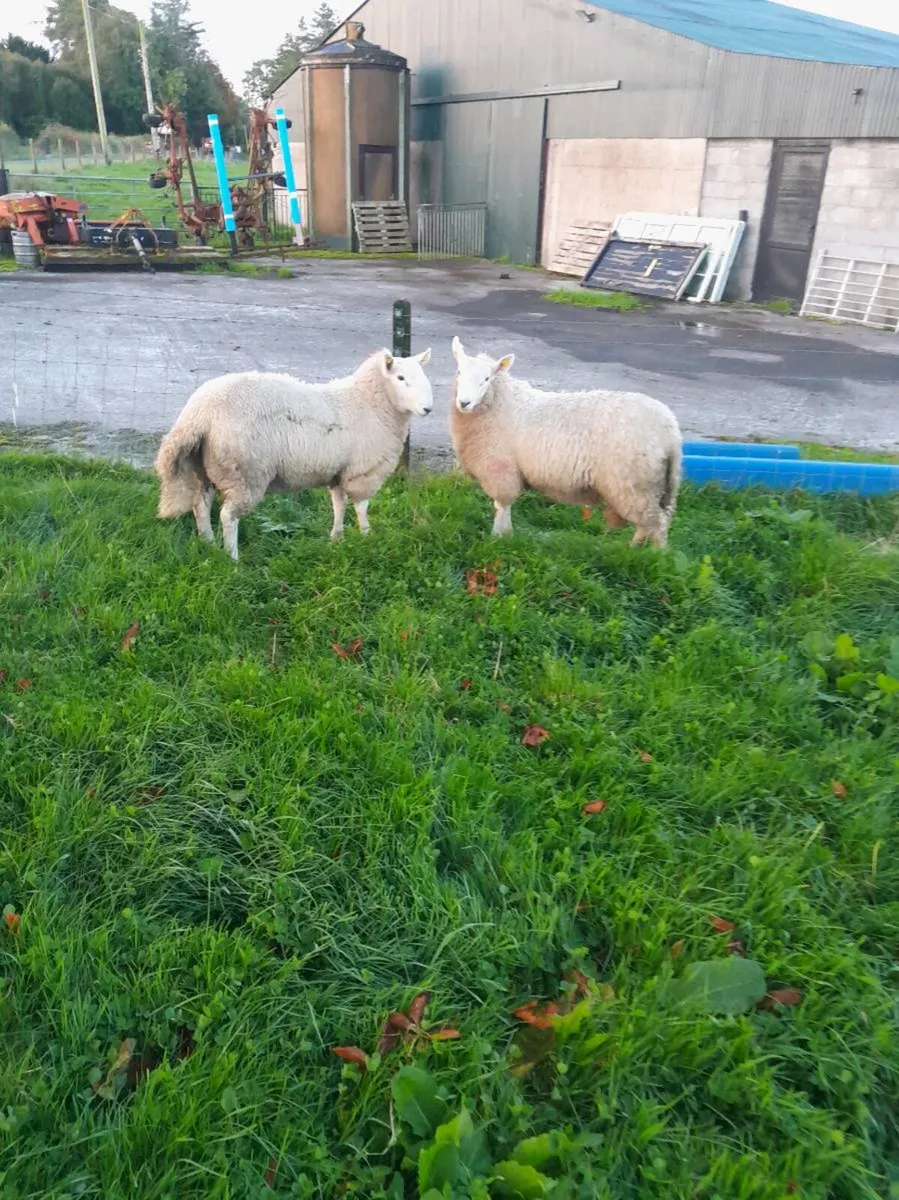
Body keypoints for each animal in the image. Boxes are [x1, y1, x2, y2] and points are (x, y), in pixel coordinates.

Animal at [155, 348, 433, 561]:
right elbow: (361, 508)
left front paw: (337, 539)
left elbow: (338, 505)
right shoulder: (362, 472)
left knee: (201, 506)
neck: (369, 402)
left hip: (204, 467)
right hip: (245, 472)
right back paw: (232, 558)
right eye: (400, 377)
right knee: (228, 516)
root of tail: (199, 413)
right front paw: (367, 538)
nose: (428, 408)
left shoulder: (339, 472)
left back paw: (208, 544)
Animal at [449, 336, 681, 547]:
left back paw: (655, 556)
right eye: (459, 372)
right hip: (656, 486)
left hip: (634, 484)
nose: (464, 403)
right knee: (652, 523)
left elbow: (502, 506)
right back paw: (633, 550)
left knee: (656, 524)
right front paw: (505, 535)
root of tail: (671, 431)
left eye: (487, 379)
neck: (500, 403)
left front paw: (498, 537)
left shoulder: (500, 469)